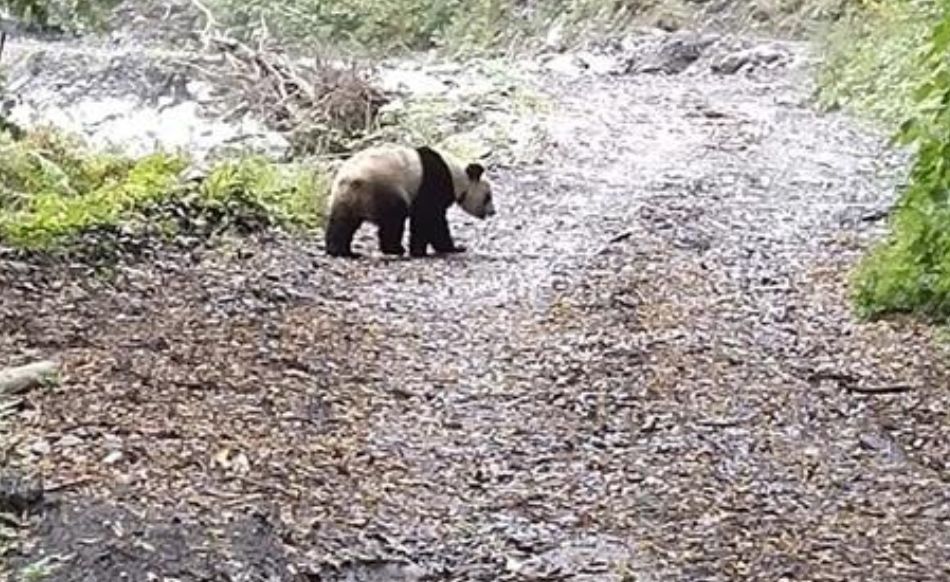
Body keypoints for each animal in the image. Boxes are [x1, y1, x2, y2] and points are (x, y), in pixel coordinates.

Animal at [326, 143, 494, 258]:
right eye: (488, 196)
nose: (493, 212)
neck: (456, 174)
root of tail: (352, 179)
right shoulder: (432, 182)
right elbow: (429, 218)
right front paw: (447, 248)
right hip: (383, 189)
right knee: (393, 219)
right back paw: (395, 249)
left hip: (344, 198)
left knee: (342, 223)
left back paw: (340, 251)